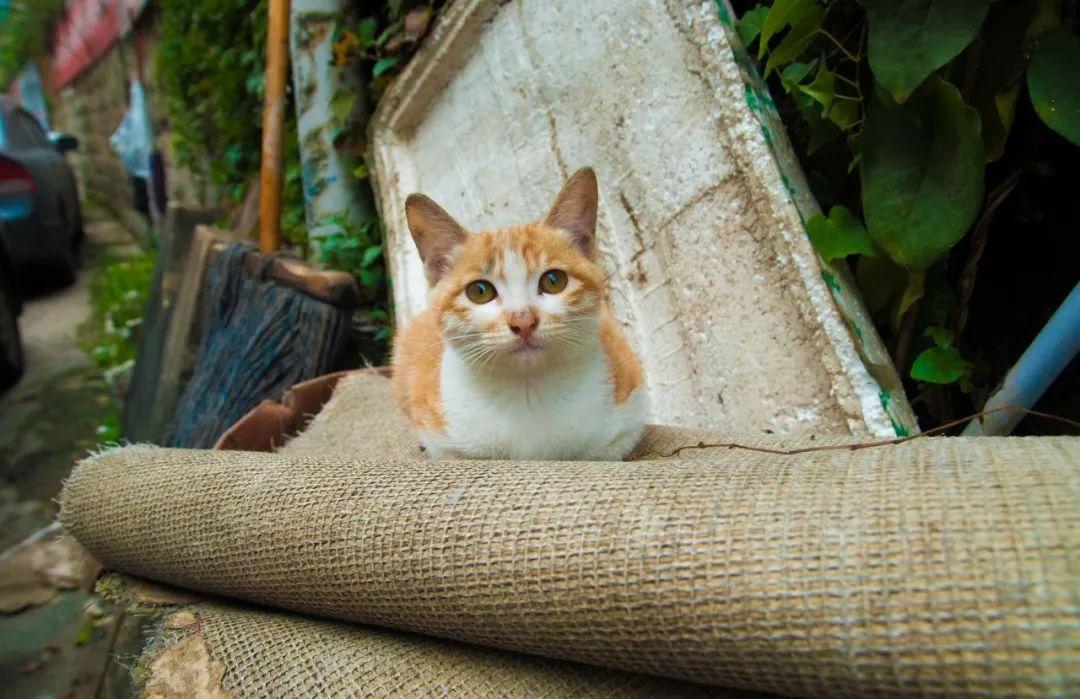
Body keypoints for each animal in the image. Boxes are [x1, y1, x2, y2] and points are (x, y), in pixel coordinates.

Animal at [397, 168, 648, 464]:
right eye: (479, 291)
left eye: (554, 281)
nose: (523, 321)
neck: (527, 389)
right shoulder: (440, 435)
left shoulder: (628, 410)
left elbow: (601, 450)